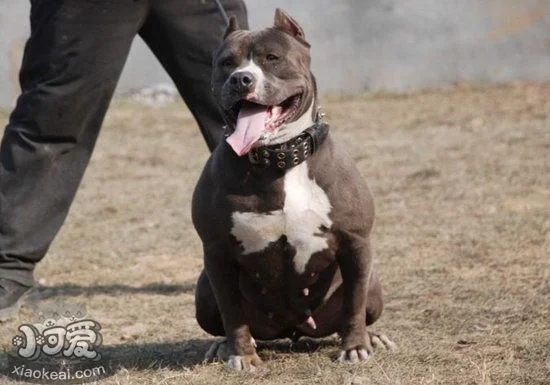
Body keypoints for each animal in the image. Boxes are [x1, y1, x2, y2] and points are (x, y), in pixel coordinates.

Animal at [193, 8, 392, 368]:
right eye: (227, 63)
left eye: (272, 58)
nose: (241, 79)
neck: (279, 159)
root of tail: (293, 330)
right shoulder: (216, 251)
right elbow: (232, 312)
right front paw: (241, 355)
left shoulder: (356, 243)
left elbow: (354, 304)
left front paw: (356, 346)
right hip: (203, 289)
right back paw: (222, 345)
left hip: (373, 284)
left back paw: (374, 337)